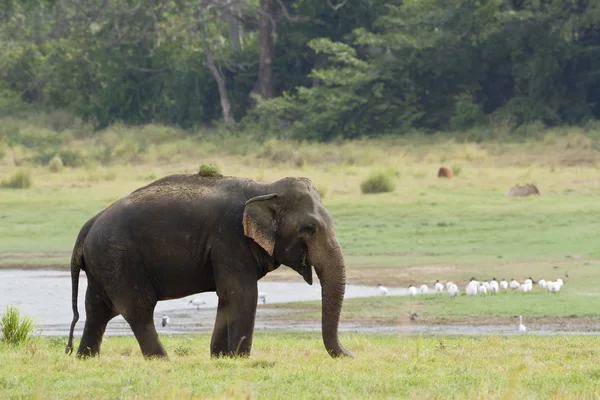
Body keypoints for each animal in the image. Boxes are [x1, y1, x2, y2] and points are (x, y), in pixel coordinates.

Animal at [65, 173, 354, 360]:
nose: (350, 354)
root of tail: (88, 226)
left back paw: (85, 359)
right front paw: (240, 359)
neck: (264, 188)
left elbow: (226, 297)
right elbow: (242, 294)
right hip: (119, 259)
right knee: (138, 309)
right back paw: (162, 359)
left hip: (103, 264)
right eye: (309, 228)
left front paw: (220, 357)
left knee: (96, 310)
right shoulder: (230, 239)